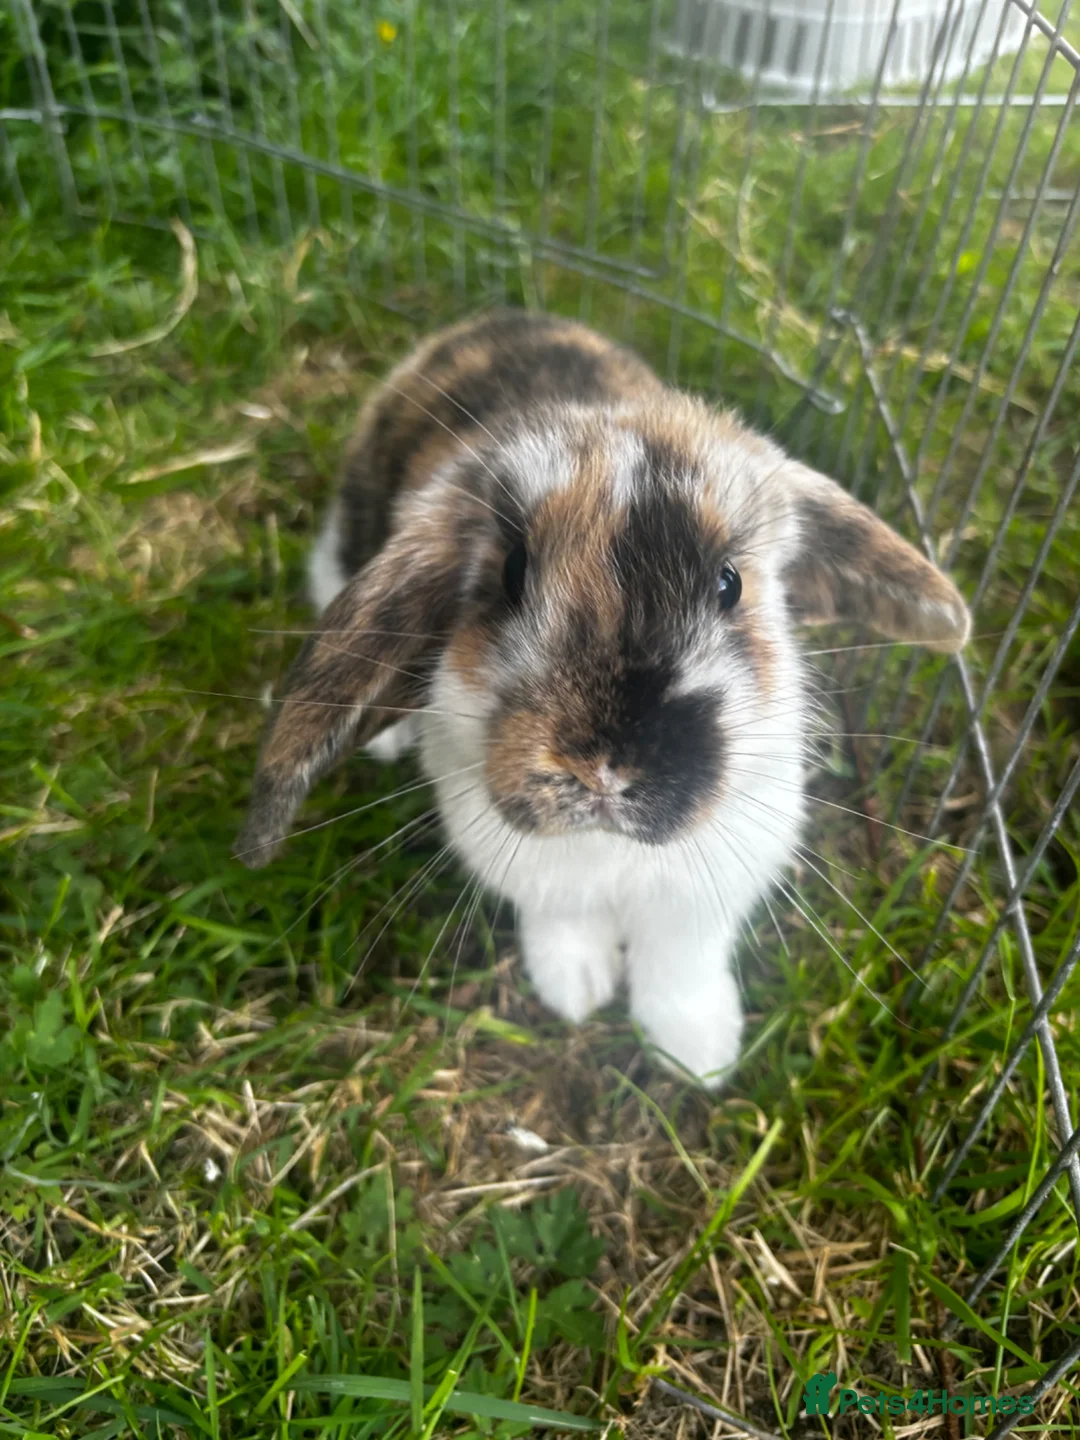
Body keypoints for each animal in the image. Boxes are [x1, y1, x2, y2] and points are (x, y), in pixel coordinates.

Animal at [234, 309, 970, 1088]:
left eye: (729, 583)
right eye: (512, 573)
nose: (604, 769)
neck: (609, 847)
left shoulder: (705, 895)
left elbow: (681, 965)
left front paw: (698, 1054)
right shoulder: (535, 874)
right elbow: (563, 926)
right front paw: (577, 991)